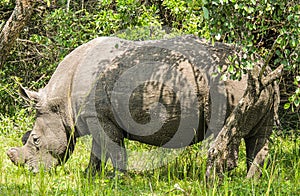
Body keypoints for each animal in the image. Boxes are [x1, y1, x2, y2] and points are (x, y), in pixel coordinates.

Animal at [7, 35, 278, 178]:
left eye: (35, 140)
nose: (30, 172)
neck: (59, 102)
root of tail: (261, 65)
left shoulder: (99, 116)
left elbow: (113, 149)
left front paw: (119, 180)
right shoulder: (95, 116)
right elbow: (97, 151)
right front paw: (90, 176)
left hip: (228, 83)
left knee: (225, 132)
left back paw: (221, 179)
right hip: (256, 83)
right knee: (258, 137)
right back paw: (249, 182)